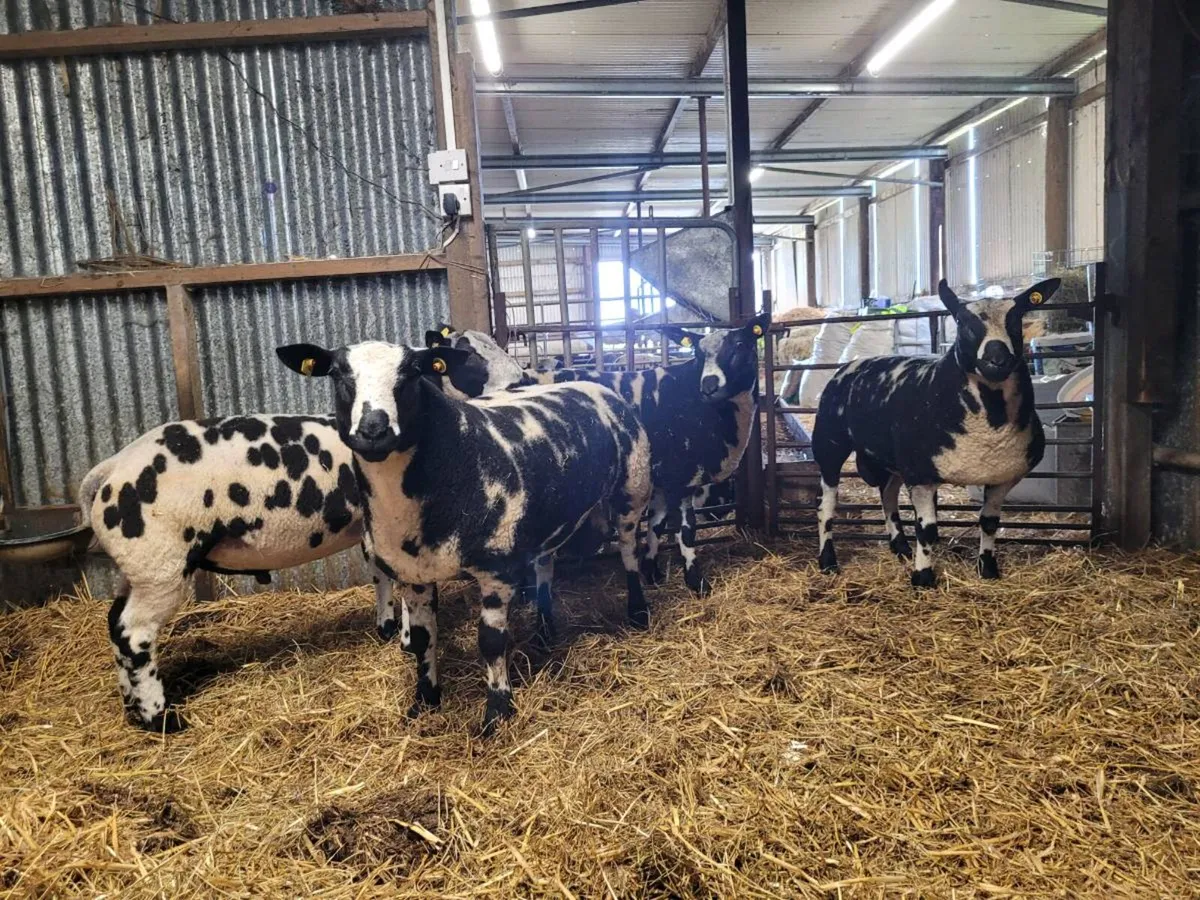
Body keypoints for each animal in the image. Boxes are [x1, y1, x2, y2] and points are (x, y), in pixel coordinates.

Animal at [80, 352, 496, 731]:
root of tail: (109, 471)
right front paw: (406, 636)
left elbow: (382, 575)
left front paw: (391, 630)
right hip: (160, 562)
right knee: (135, 633)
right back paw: (161, 718)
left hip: (137, 567)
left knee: (115, 623)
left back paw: (131, 707)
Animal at [276, 340, 652, 734]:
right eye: (338, 374)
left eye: (412, 372)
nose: (374, 430)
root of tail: (593, 385)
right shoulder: (414, 575)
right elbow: (423, 638)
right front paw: (424, 700)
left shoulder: (497, 568)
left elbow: (491, 642)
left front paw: (497, 712)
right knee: (545, 564)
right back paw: (545, 630)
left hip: (633, 486)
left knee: (630, 551)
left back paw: (637, 612)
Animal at [812, 278, 1060, 587]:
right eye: (963, 322)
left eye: (1016, 319)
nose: (997, 359)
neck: (990, 423)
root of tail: (852, 364)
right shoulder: (921, 475)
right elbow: (927, 530)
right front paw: (923, 578)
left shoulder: (1003, 476)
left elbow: (989, 523)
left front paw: (988, 569)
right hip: (829, 445)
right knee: (826, 508)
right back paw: (828, 562)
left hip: (892, 460)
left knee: (887, 496)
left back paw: (901, 548)